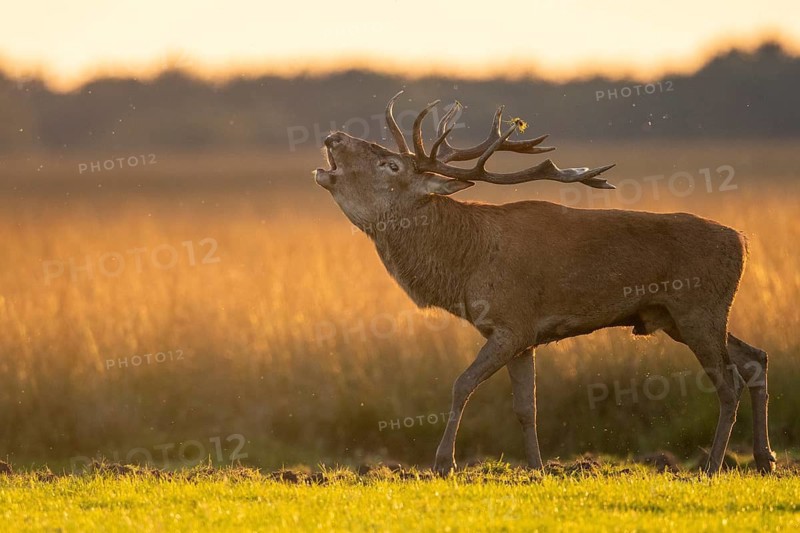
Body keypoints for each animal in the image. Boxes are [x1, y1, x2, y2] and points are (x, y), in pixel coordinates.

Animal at [313, 91, 776, 476]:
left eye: (390, 164)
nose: (333, 137)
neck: (466, 266)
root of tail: (743, 241)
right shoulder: (523, 337)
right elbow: (526, 407)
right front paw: (537, 469)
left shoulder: (512, 323)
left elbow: (461, 384)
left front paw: (444, 463)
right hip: (680, 318)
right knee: (756, 358)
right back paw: (763, 459)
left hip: (699, 309)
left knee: (730, 383)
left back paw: (713, 466)